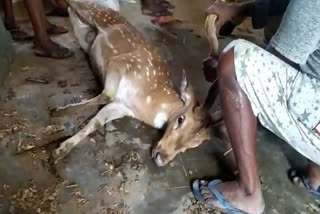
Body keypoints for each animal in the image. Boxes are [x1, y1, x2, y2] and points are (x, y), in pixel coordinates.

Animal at [52, 0, 224, 166]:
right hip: (93, 12)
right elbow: (107, 95)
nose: (162, 158)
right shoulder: (121, 62)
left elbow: (97, 122)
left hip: (85, 33)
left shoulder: (122, 108)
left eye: (194, 144)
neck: (146, 102)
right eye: (181, 119)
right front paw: (60, 111)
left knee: (74, 18)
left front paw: (61, 150)